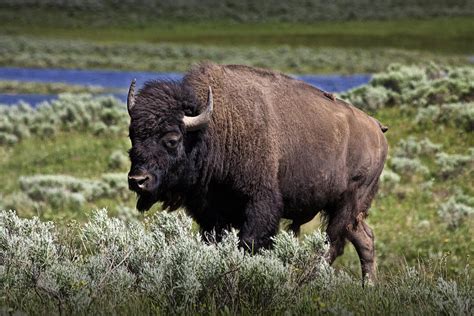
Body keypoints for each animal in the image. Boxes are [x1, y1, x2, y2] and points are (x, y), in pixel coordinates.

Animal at [127, 63, 388, 282]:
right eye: (132, 136)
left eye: (172, 139)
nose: (137, 180)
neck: (218, 127)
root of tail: (376, 127)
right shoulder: (212, 212)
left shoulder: (259, 205)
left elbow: (250, 243)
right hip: (348, 210)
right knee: (364, 238)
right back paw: (368, 285)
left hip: (348, 203)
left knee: (332, 243)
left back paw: (311, 280)